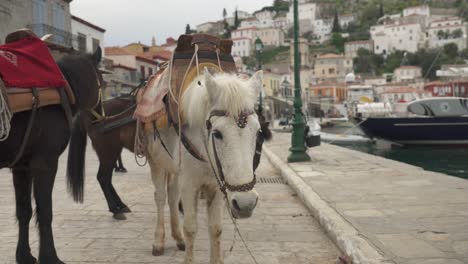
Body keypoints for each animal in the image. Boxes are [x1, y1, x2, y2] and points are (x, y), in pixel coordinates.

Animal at [146, 68, 264, 264]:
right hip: (157, 164)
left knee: (172, 196)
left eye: (258, 132)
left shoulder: (217, 186)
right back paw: (158, 242)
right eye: (217, 133)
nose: (245, 204)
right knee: (161, 198)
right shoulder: (190, 185)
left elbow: (216, 228)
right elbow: (190, 228)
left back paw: (178, 238)